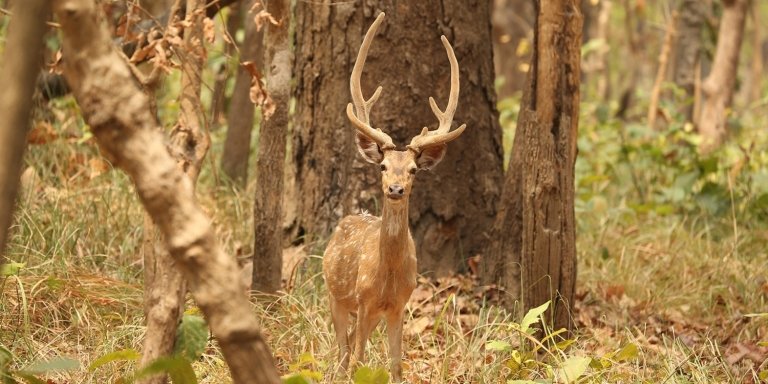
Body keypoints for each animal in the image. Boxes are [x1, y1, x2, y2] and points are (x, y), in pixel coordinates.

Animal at [320, 12, 464, 384]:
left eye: (413, 169)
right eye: (383, 166)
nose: (395, 189)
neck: (386, 279)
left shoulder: (400, 305)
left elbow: (397, 365)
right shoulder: (364, 300)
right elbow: (357, 359)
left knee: (348, 348)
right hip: (335, 293)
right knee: (343, 352)